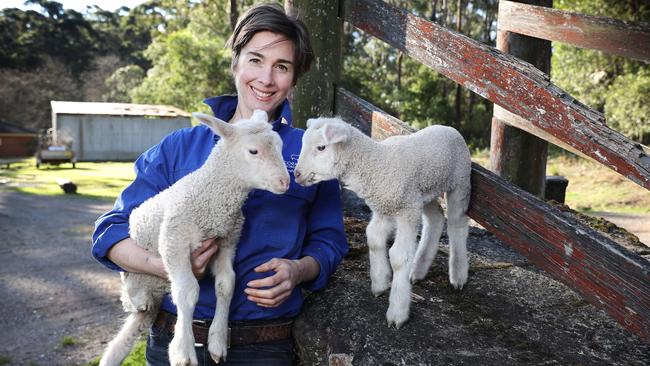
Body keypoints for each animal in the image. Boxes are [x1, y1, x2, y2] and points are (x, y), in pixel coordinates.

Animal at [99, 110, 288, 366]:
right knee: (128, 291)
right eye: (253, 151)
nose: (285, 182)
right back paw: (138, 298)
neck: (212, 199)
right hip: (134, 270)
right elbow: (188, 291)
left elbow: (226, 284)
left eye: (280, 146)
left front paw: (217, 340)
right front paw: (183, 350)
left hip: (151, 302)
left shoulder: (228, 241)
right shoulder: (173, 240)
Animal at [294, 117, 470, 328]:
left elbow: (399, 257)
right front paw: (380, 282)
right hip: (425, 191)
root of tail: (449, 128)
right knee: (436, 217)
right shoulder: (384, 208)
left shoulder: (407, 210)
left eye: (321, 147)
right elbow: (373, 239)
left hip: (459, 182)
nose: (296, 174)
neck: (377, 164)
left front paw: (397, 312)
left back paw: (458, 274)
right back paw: (418, 269)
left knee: (457, 223)